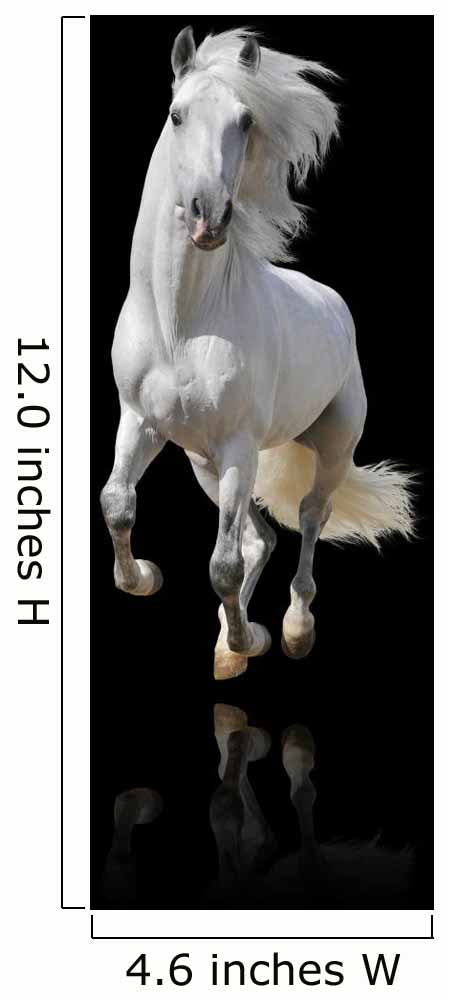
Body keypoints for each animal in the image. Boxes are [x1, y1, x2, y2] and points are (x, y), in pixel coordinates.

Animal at [100, 27, 414, 680]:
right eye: (176, 115)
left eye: (245, 121)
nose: (208, 218)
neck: (181, 324)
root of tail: (335, 304)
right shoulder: (140, 421)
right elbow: (117, 503)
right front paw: (146, 579)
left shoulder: (238, 446)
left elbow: (221, 565)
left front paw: (255, 640)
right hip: (203, 464)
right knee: (259, 540)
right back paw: (228, 647)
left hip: (326, 450)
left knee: (309, 522)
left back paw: (291, 632)